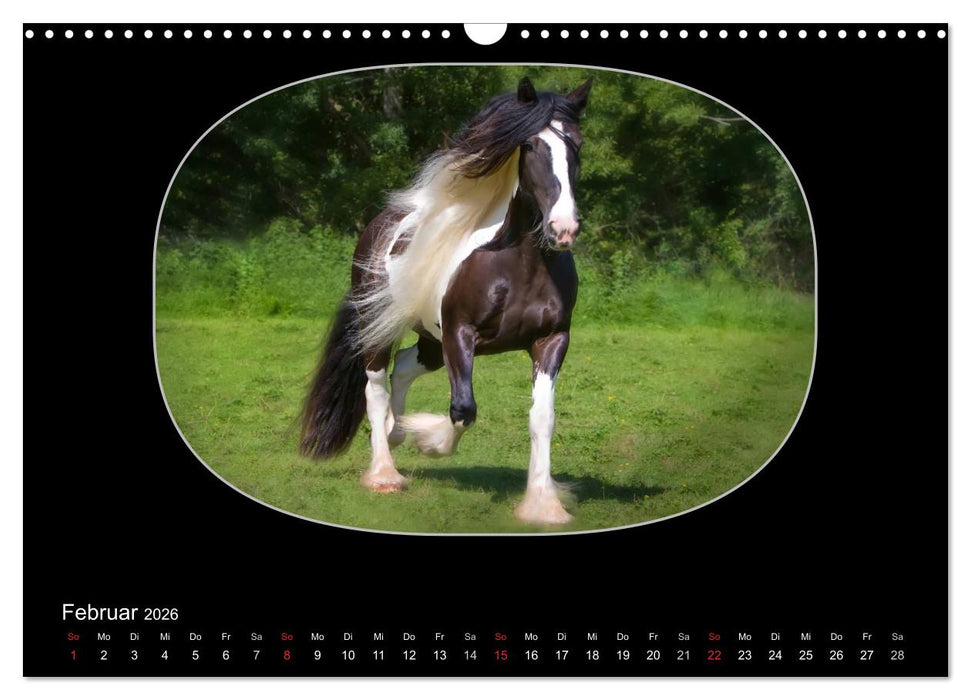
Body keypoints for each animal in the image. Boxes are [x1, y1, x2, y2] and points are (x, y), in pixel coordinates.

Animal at [300, 77, 592, 526]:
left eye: (577, 142)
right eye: (530, 145)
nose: (563, 228)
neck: (517, 264)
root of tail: (378, 226)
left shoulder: (552, 339)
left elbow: (542, 418)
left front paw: (544, 504)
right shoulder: (459, 333)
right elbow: (463, 409)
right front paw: (431, 443)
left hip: (431, 340)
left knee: (404, 366)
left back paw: (397, 431)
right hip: (383, 326)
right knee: (375, 386)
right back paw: (384, 472)